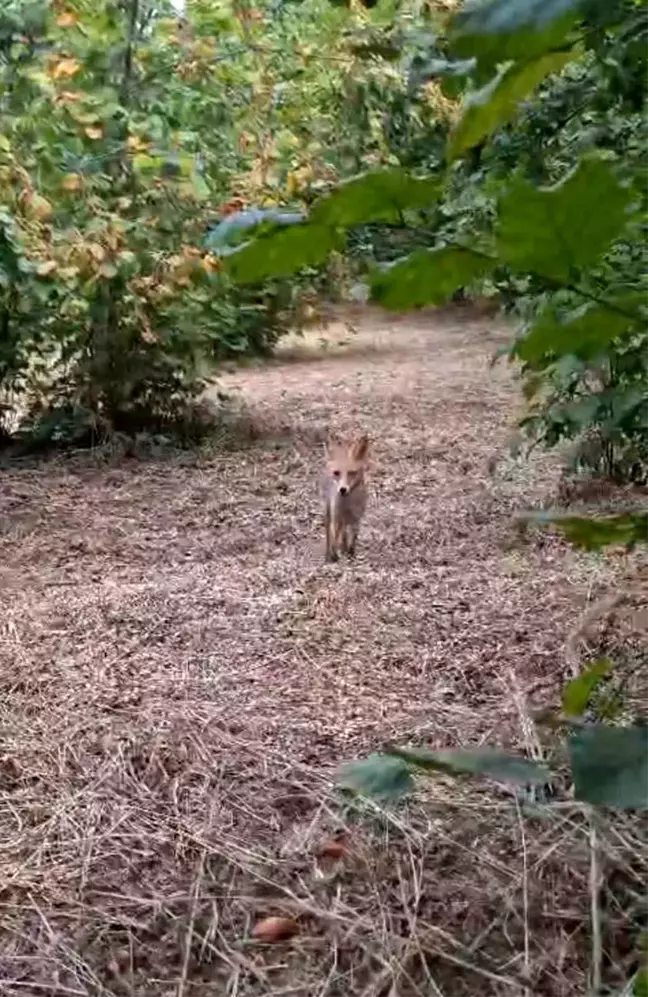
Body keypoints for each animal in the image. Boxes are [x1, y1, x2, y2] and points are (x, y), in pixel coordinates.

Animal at [322, 434, 370, 564]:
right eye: (337, 473)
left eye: (352, 473)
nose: (343, 489)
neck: (348, 505)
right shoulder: (337, 518)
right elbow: (336, 539)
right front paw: (336, 555)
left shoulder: (356, 519)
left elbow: (353, 539)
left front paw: (350, 554)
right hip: (329, 511)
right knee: (330, 534)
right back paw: (329, 555)